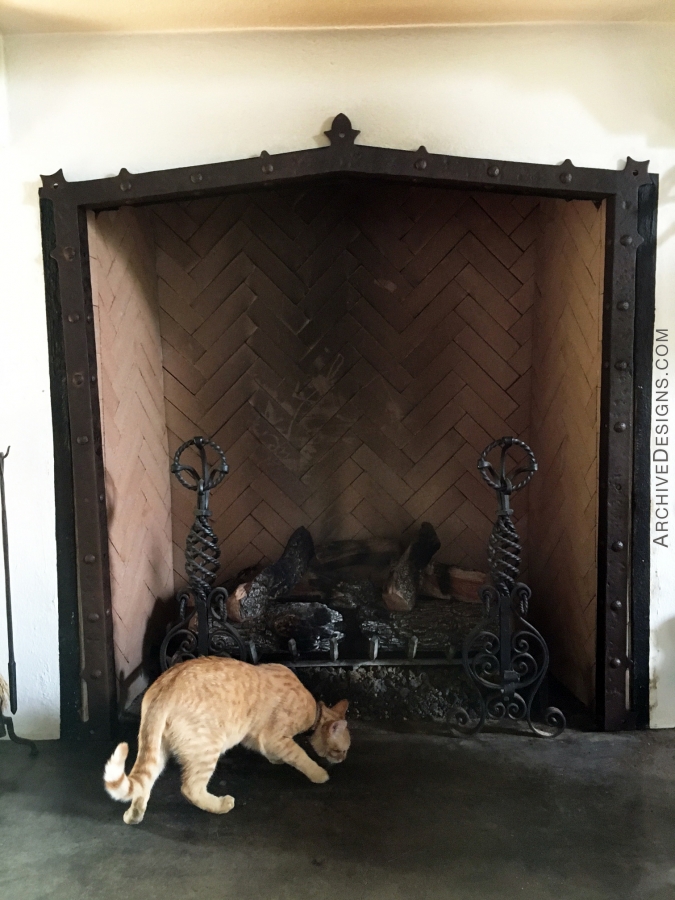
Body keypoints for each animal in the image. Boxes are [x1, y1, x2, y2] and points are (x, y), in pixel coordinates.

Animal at [104, 652, 354, 824]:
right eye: (340, 751)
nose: (343, 760)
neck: (314, 710)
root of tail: (164, 689)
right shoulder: (274, 737)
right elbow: (300, 756)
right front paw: (319, 774)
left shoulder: (257, 736)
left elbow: (271, 751)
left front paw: (276, 760)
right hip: (208, 749)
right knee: (190, 788)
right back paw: (221, 805)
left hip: (157, 748)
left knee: (144, 783)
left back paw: (134, 815)